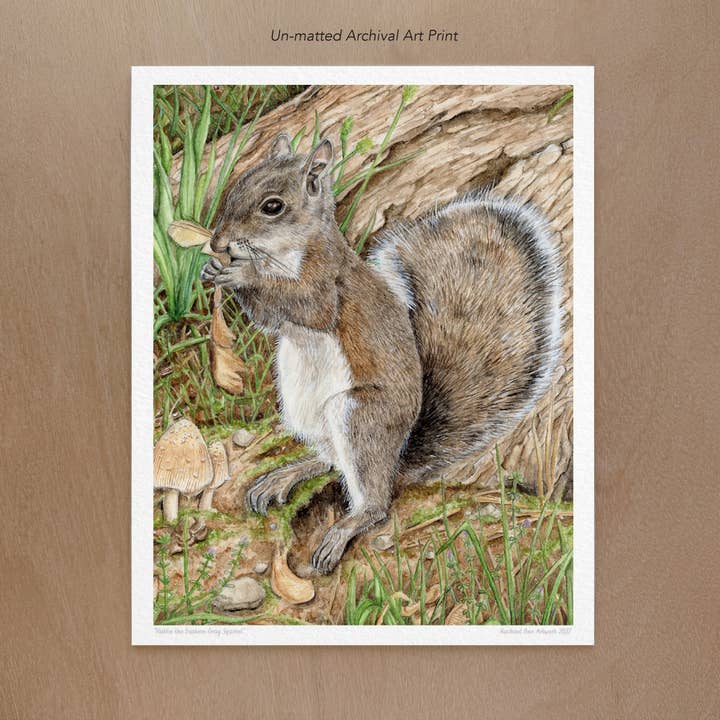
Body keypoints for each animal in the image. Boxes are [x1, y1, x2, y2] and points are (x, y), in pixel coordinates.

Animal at [200, 132, 562, 574]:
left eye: (273, 206)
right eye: (239, 183)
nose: (217, 243)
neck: (285, 254)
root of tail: (398, 455)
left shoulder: (326, 285)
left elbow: (306, 306)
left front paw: (239, 273)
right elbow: (269, 321)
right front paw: (214, 269)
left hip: (360, 417)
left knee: (374, 501)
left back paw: (342, 530)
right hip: (305, 411)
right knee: (330, 460)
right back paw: (285, 476)